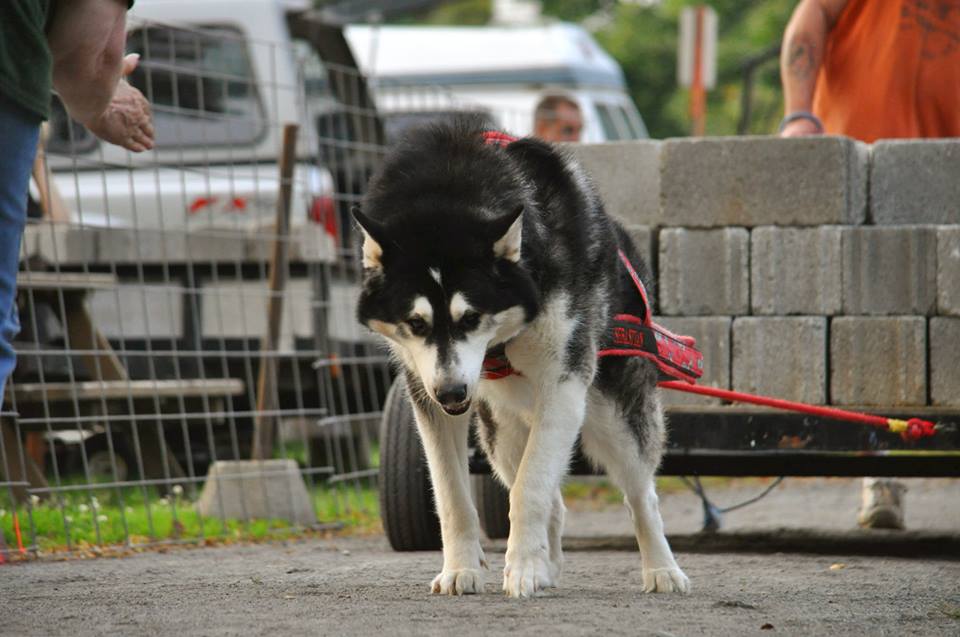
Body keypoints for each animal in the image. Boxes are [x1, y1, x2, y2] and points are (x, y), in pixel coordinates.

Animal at [356, 115, 688, 596]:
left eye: (472, 317)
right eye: (416, 323)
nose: (453, 393)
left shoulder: (564, 385)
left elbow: (530, 489)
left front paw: (525, 569)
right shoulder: (425, 393)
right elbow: (453, 494)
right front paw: (461, 569)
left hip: (613, 417)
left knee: (640, 493)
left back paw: (662, 569)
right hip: (501, 434)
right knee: (548, 496)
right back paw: (549, 566)